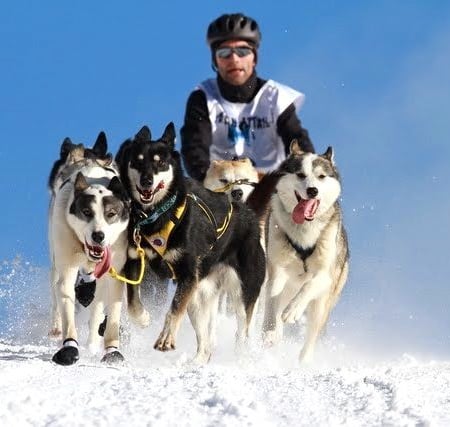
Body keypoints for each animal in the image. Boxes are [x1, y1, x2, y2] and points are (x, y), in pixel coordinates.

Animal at [48, 135, 130, 365]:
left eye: (111, 214)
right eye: (86, 212)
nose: (98, 236)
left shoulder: (115, 274)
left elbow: (109, 315)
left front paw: (111, 350)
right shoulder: (66, 267)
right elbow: (66, 302)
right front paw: (69, 347)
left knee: (97, 308)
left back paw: (93, 342)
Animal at [115, 122, 266, 364]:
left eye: (160, 162)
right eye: (137, 161)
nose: (146, 181)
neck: (157, 216)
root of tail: (248, 215)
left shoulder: (187, 273)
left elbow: (173, 309)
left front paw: (165, 338)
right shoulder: (135, 262)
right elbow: (132, 303)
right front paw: (143, 318)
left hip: (242, 292)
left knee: (242, 330)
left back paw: (240, 356)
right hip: (198, 295)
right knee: (205, 341)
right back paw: (197, 361)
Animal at [261, 141, 349, 364]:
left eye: (321, 176)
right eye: (300, 174)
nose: (312, 191)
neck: (304, 232)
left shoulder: (324, 274)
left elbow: (308, 286)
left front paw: (292, 311)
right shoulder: (277, 270)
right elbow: (272, 300)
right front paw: (270, 331)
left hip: (321, 305)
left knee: (312, 334)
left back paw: (304, 360)